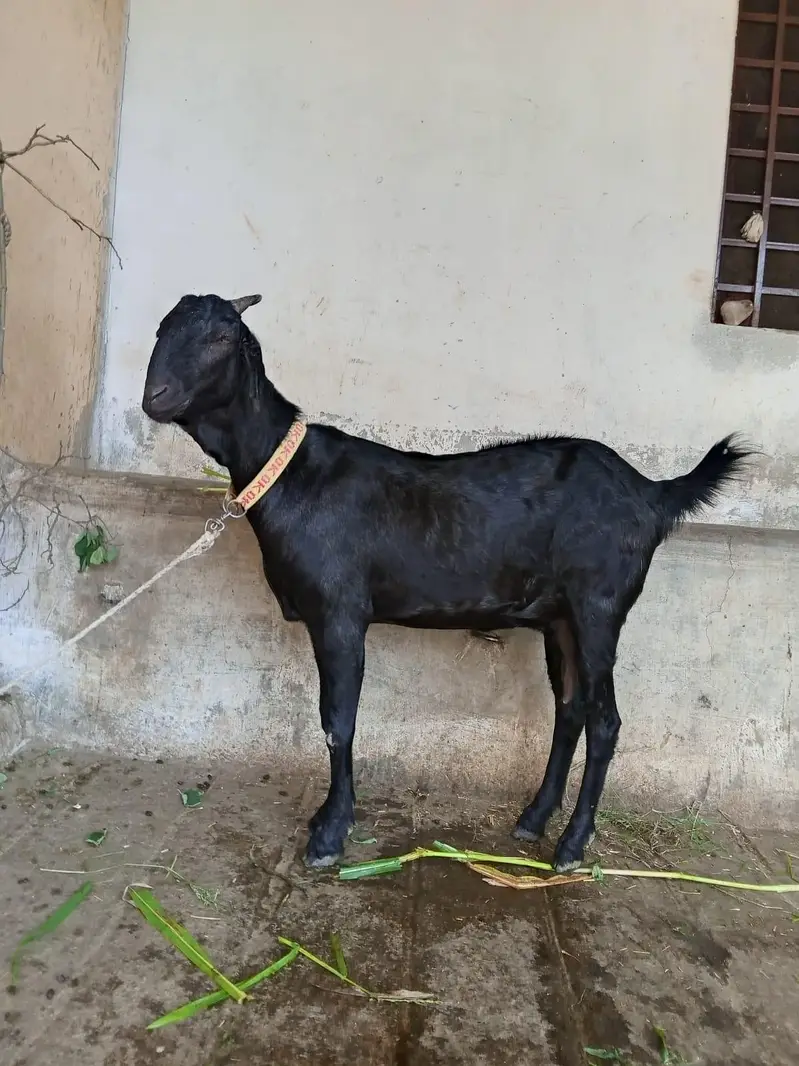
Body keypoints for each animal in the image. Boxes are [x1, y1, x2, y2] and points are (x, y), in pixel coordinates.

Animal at [142, 293, 750, 871]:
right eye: (161, 327)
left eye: (223, 337)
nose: (155, 396)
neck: (289, 472)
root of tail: (651, 493)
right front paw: (325, 818)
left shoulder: (339, 612)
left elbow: (338, 719)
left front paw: (331, 833)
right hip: (560, 617)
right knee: (571, 708)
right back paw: (533, 819)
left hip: (599, 605)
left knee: (606, 721)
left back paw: (573, 844)